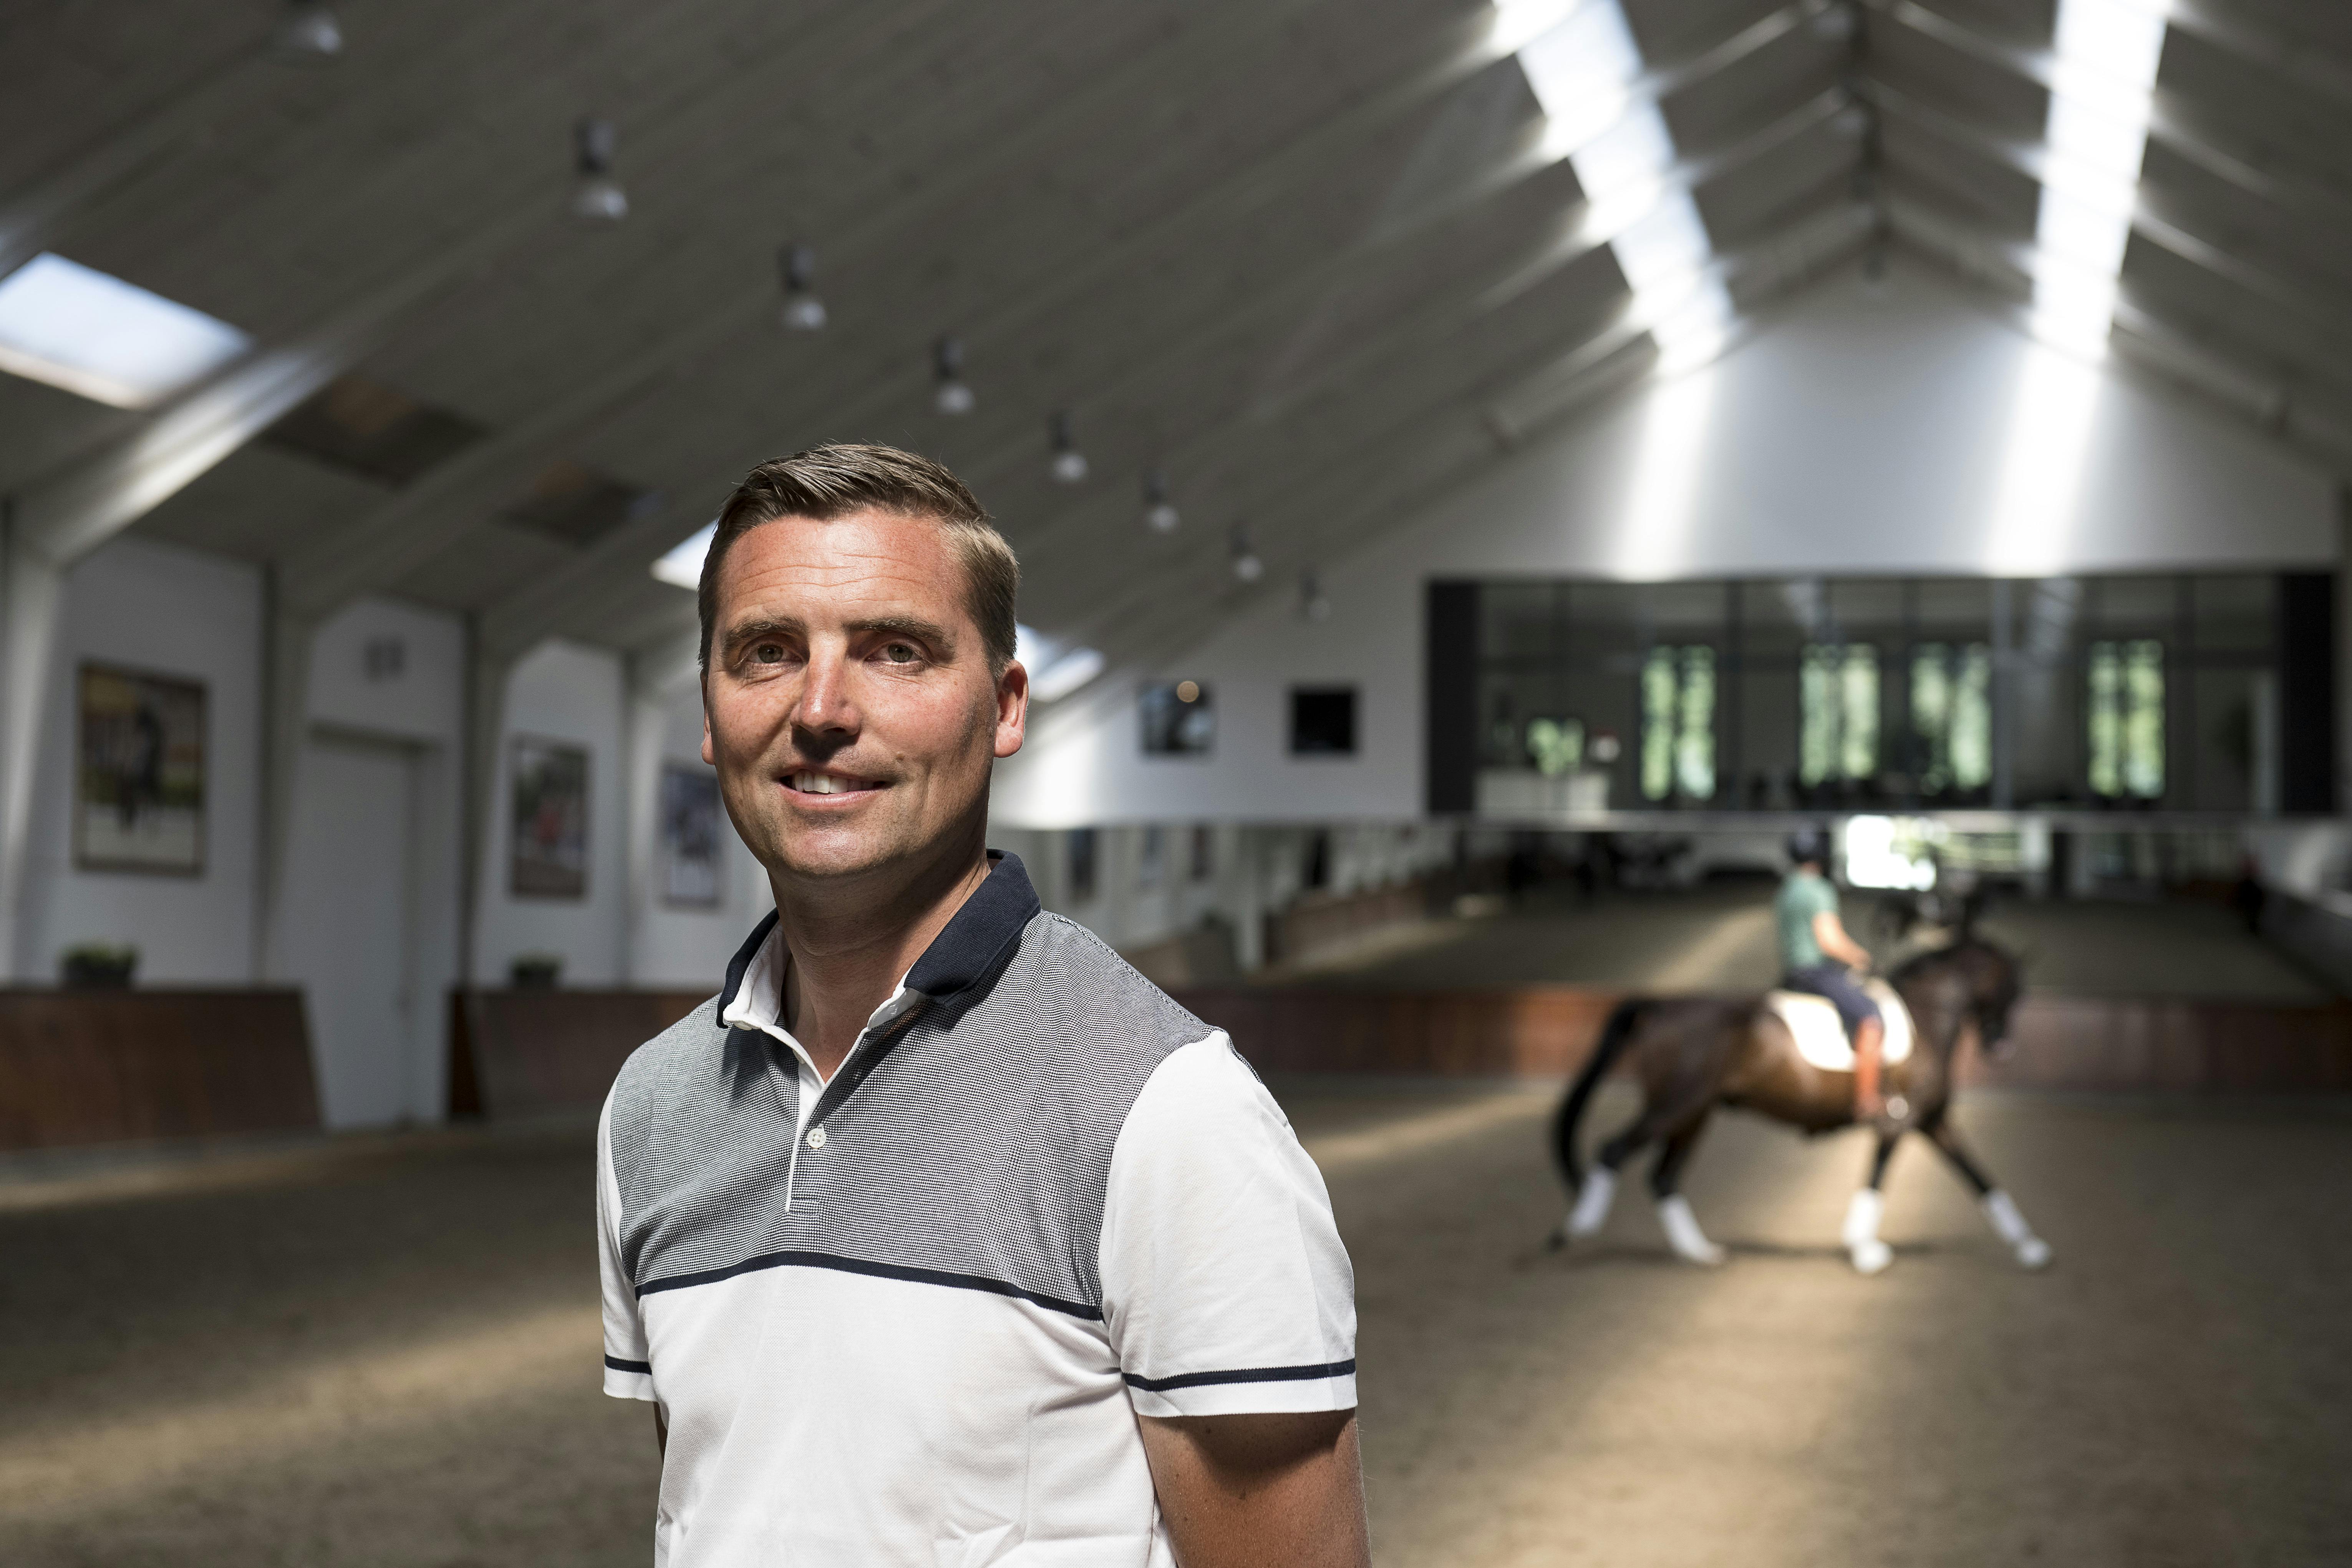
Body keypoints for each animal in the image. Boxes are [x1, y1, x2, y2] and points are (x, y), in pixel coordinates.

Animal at [1543, 931, 2041, 1279]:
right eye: (2013, 986)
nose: (2001, 1045)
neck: (1926, 1016)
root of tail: (1662, 1006)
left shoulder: (1934, 1120)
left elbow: (1981, 1179)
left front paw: (2031, 1247)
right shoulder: (1899, 1122)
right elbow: (1877, 1179)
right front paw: (1865, 1249)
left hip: (1695, 1112)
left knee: (1663, 1177)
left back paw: (1699, 1252)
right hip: (1676, 1103)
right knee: (1613, 1151)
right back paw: (1577, 1227)